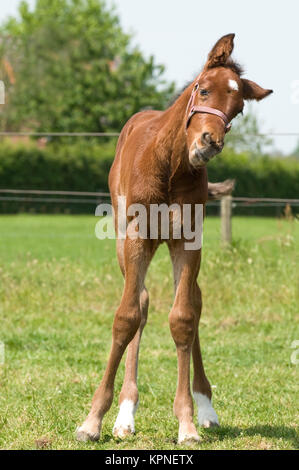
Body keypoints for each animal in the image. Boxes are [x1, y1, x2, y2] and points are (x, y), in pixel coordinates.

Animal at [78, 34, 274, 444]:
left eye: (237, 110)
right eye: (203, 88)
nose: (208, 143)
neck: (169, 163)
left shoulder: (188, 240)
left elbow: (183, 317)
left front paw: (187, 422)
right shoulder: (137, 236)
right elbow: (126, 316)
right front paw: (93, 420)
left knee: (191, 302)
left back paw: (205, 408)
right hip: (126, 241)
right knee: (141, 302)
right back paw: (125, 415)